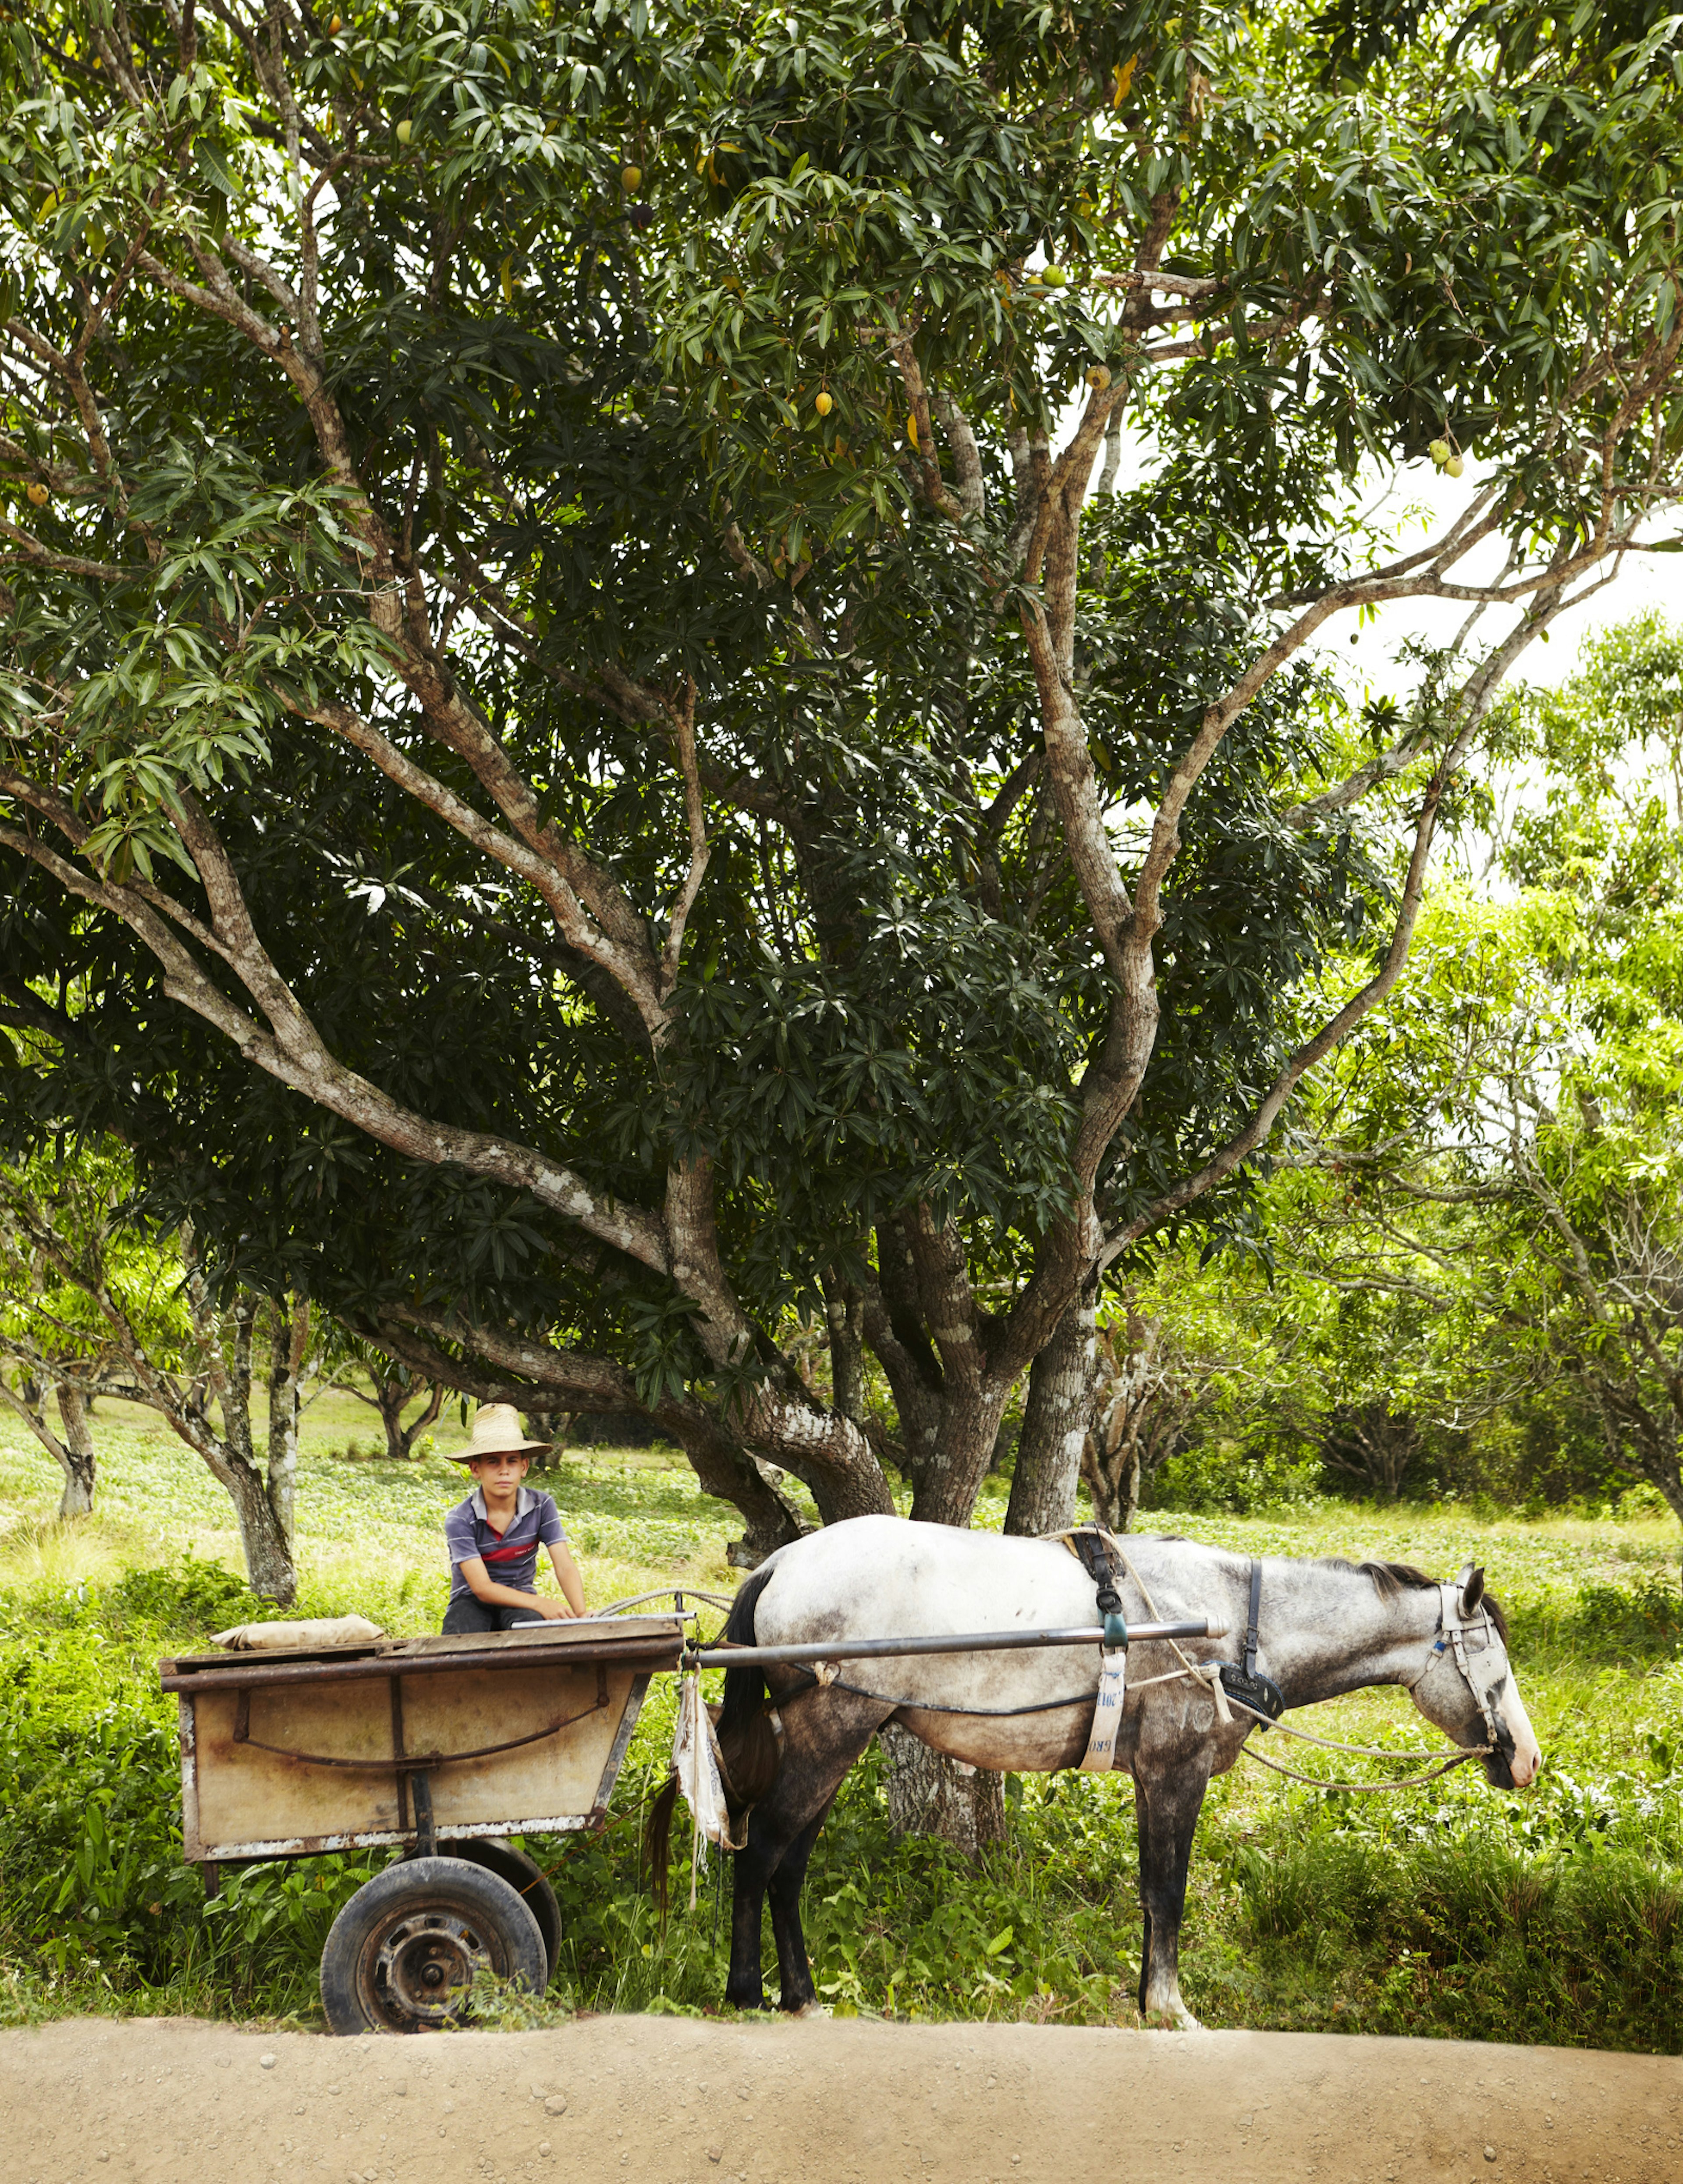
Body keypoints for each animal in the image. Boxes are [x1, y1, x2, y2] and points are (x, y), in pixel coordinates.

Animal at [681, 1511, 1537, 2018]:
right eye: (1493, 1656)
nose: (1526, 1757)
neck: (1236, 1626)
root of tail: (781, 1562)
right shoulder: (1177, 1770)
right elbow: (1168, 1893)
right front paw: (1171, 2008)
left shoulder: (1152, 1776)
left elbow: (1152, 1894)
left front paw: (1147, 2002)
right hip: (833, 1729)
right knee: (761, 1855)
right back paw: (746, 1989)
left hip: (836, 1738)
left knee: (789, 1866)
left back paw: (800, 1993)